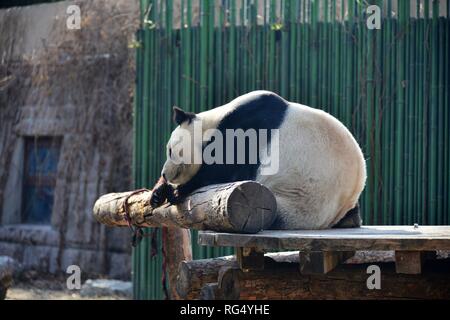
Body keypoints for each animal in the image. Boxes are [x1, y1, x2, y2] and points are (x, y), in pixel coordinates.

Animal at [150, 90, 366, 230]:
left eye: (170, 150)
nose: (164, 173)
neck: (213, 124)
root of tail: (334, 216)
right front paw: (158, 192)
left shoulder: (247, 130)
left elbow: (225, 171)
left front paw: (177, 191)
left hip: (295, 202)